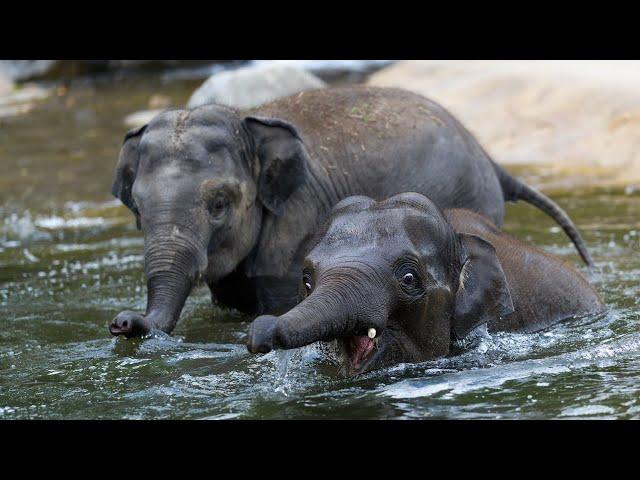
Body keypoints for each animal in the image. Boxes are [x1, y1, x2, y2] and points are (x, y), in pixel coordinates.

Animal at [107, 87, 592, 342]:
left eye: (220, 204)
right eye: (137, 208)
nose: (122, 322)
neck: (249, 117)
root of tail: (488, 156)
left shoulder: (296, 219)